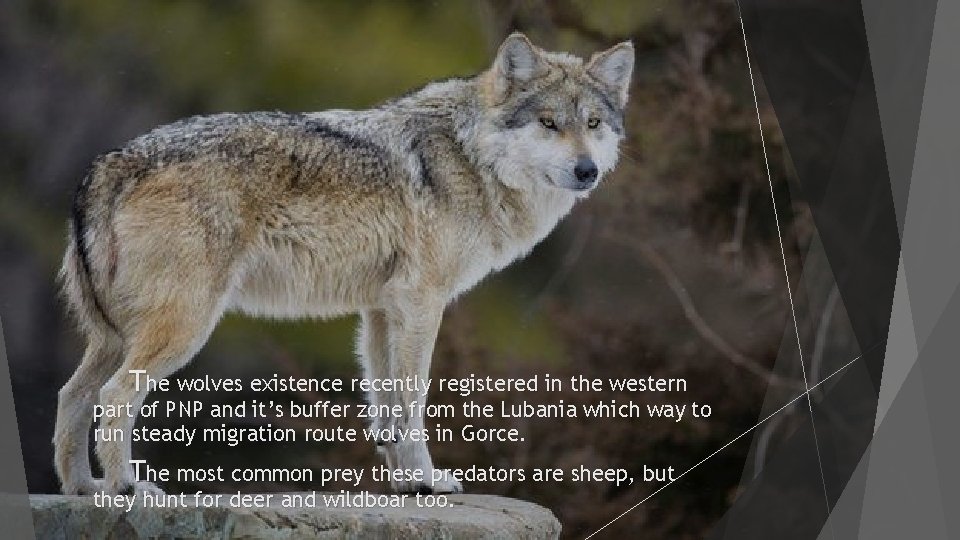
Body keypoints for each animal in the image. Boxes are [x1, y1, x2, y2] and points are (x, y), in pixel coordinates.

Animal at [54, 32, 634, 496]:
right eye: (549, 123)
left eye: (593, 124)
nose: (587, 171)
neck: (471, 157)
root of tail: (111, 161)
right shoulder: (421, 305)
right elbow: (412, 402)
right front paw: (428, 479)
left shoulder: (380, 311)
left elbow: (386, 411)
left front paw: (406, 485)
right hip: (183, 328)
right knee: (113, 397)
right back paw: (126, 486)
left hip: (114, 337)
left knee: (73, 396)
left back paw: (84, 489)